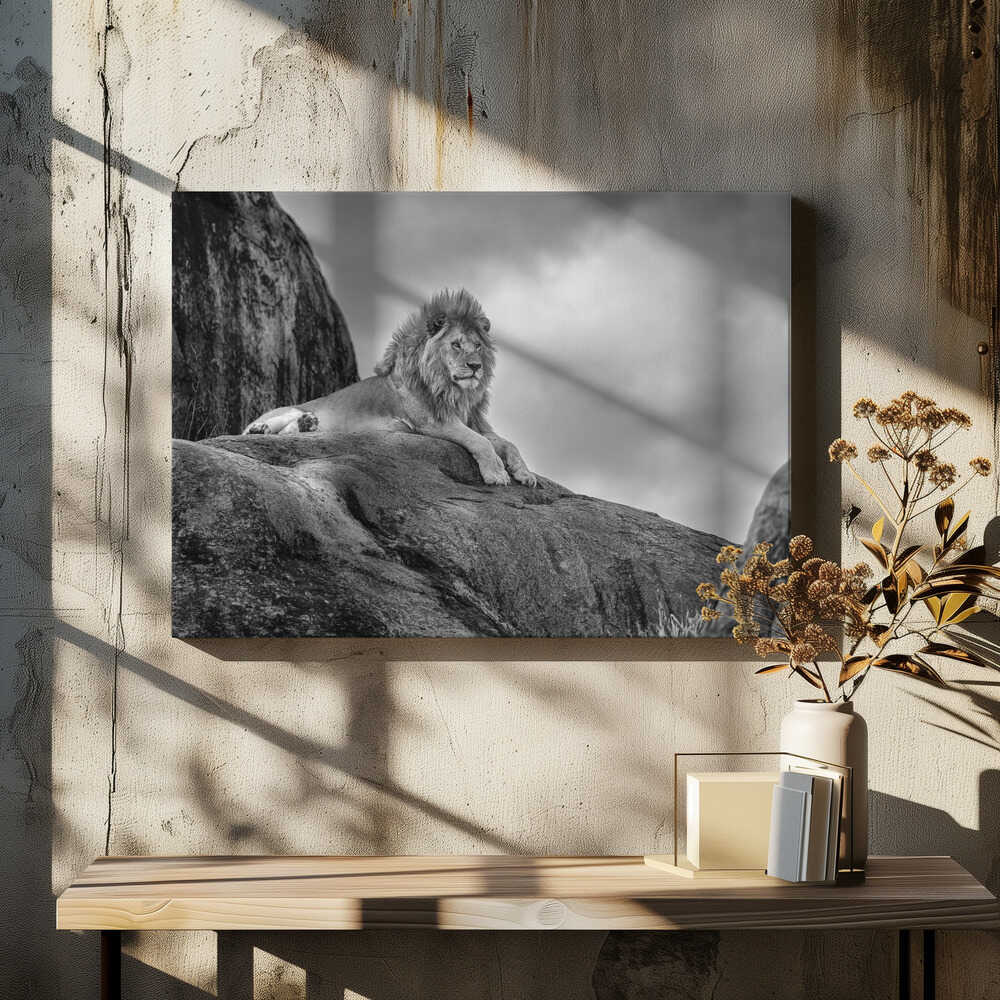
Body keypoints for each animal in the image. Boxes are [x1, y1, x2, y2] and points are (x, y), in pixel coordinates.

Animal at [242, 288, 536, 487]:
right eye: (456, 344)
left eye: (477, 346)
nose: (476, 366)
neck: (452, 389)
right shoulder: (432, 422)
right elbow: (480, 442)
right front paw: (497, 473)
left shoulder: (471, 421)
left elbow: (507, 443)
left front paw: (524, 473)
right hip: (287, 409)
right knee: (254, 430)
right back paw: (261, 428)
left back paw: (307, 425)